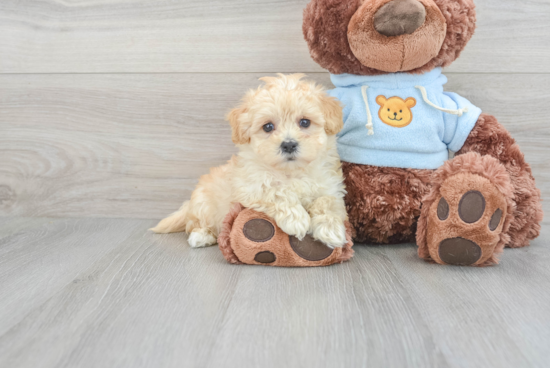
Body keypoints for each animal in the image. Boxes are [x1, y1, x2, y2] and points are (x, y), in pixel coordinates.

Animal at [152, 73, 350, 249]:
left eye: (305, 122)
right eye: (268, 126)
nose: (288, 145)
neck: (291, 171)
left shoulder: (331, 186)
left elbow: (328, 202)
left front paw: (331, 230)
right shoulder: (250, 186)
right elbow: (277, 191)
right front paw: (297, 219)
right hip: (204, 204)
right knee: (195, 223)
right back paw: (202, 236)